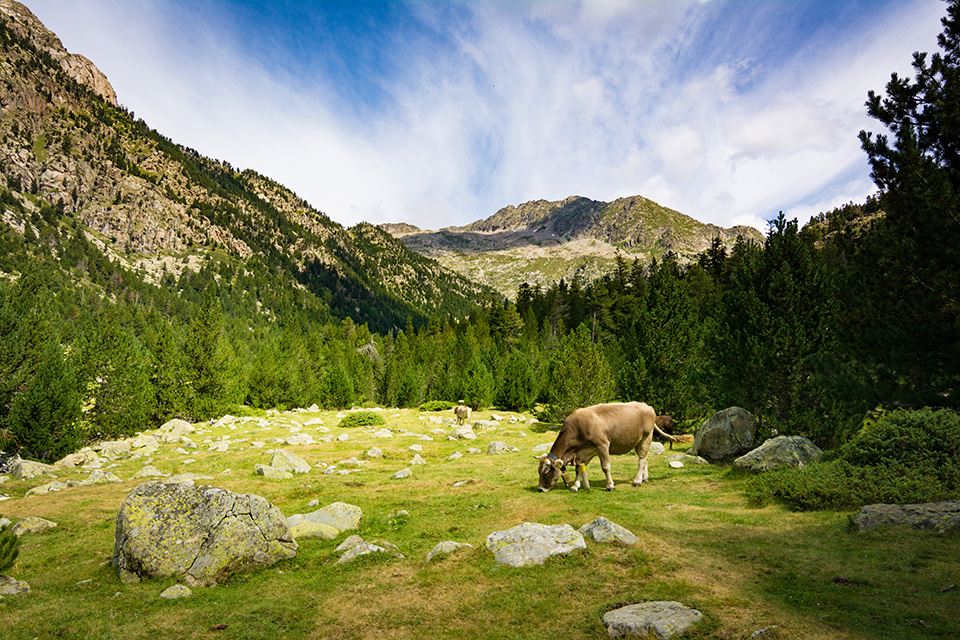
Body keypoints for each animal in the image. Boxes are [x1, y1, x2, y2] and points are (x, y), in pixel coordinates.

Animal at [536, 402, 680, 492]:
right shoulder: (581, 453)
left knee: (641, 461)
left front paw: (610, 485)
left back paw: (637, 481)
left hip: (646, 437)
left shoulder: (602, 445)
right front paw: (575, 486)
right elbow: (578, 470)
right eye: (538, 471)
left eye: (546, 473)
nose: (540, 489)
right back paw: (645, 478)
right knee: (645, 459)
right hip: (637, 441)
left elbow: (605, 467)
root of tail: (646, 405)